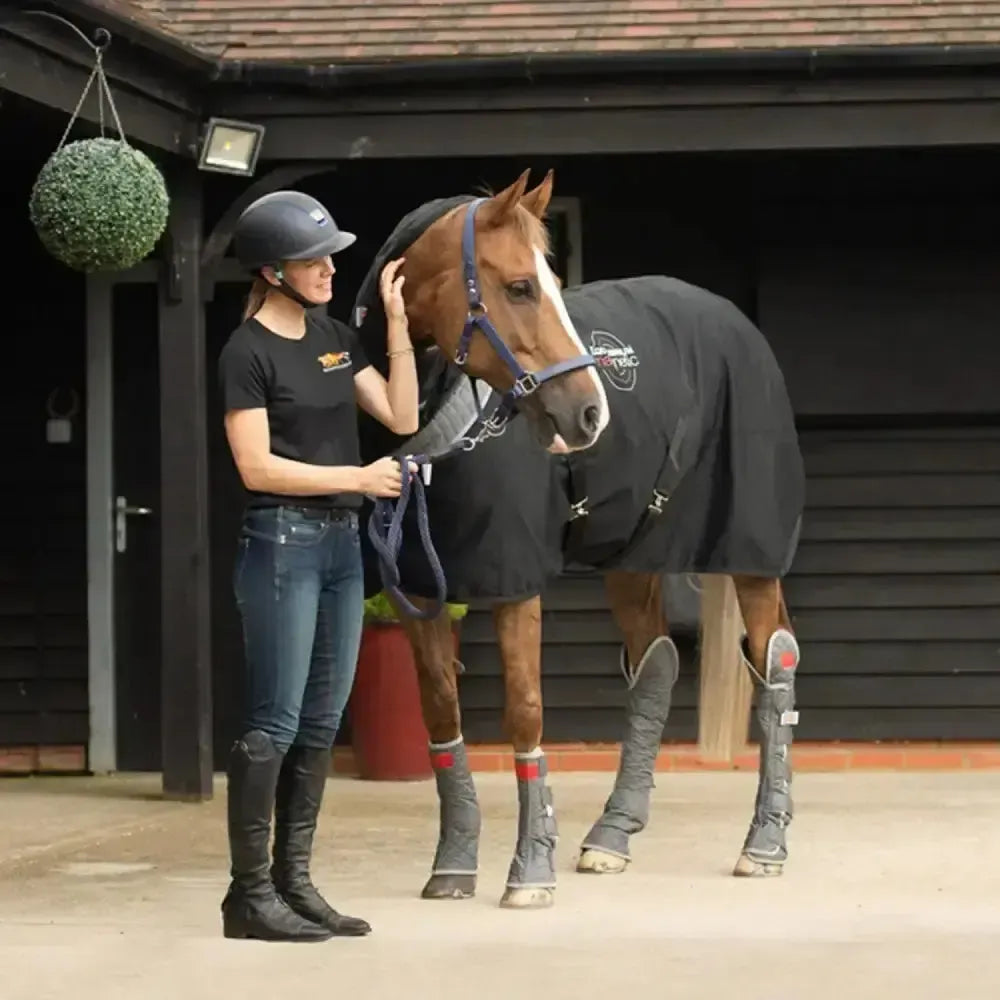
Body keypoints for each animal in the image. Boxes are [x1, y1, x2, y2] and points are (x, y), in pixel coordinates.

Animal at [352, 169, 805, 910]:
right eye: (518, 287)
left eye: (550, 283)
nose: (590, 413)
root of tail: (737, 323)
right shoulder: (418, 588)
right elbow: (441, 718)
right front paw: (453, 864)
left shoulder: (515, 582)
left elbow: (525, 712)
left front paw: (529, 869)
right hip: (634, 555)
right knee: (655, 664)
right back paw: (612, 835)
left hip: (749, 552)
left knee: (775, 658)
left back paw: (765, 843)